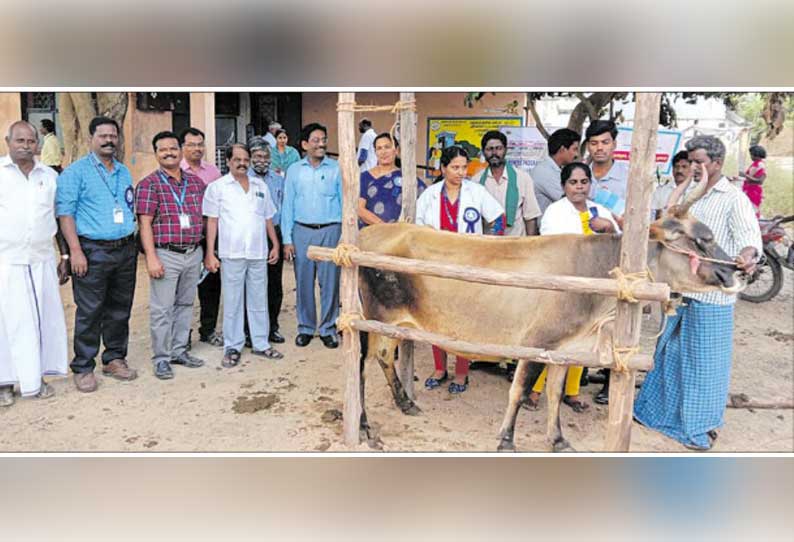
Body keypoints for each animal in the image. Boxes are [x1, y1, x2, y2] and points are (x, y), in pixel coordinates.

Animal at [356, 198, 740, 452]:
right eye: (702, 238)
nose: (737, 270)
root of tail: (366, 235)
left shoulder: (565, 349)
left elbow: (555, 392)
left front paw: (557, 439)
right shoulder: (536, 342)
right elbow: (519, 390)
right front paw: (506, 440)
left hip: (393, 324)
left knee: (385, 357)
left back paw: (405, 403)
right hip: (366, 321)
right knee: (360, 369)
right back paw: (363, 425)